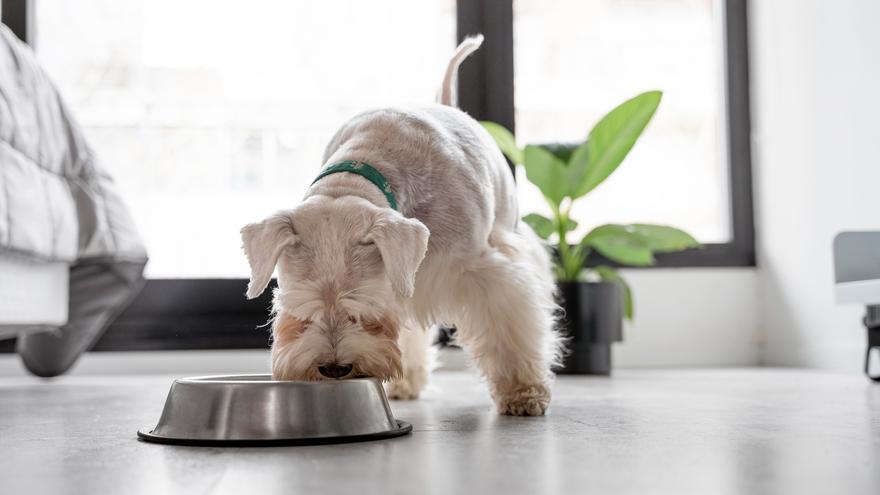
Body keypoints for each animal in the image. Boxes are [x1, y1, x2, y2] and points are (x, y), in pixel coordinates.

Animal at [237, 35, 560, 414]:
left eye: (364, 308)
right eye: (300, 311)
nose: (334, 368)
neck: (364, 166)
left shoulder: (485, 272)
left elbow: (507, 328)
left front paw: (523, 392)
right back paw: (405, 383)